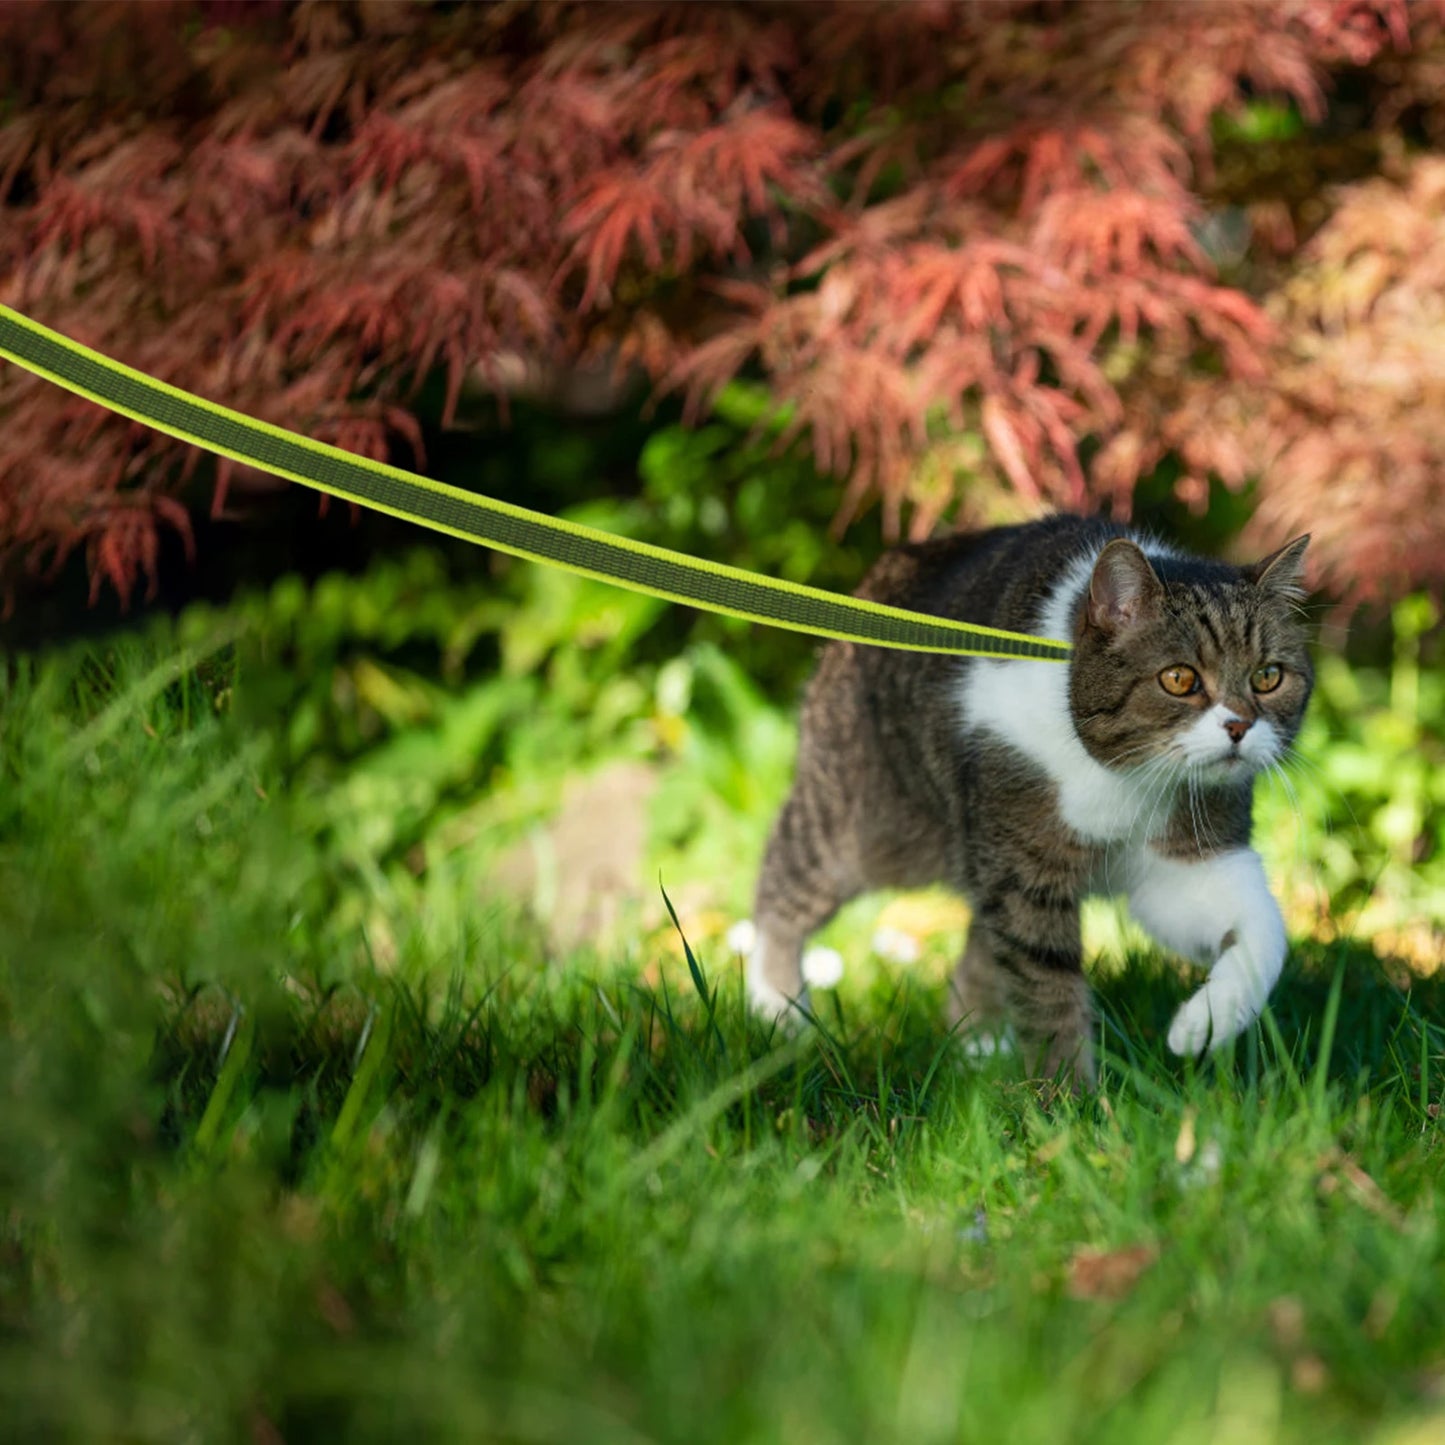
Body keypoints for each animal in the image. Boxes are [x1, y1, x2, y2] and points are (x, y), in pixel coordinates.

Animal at [739, 511, 1317, 1086]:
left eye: (1268, 676)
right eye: (1179, 679)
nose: (1240, 726)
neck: (1124, 777)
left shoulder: (1185, 866)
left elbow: (1264, 929)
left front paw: (1206, 1022)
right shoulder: (1025, 868)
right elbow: (1047, 988)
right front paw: (1070, 1096)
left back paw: (978, 1043)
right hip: (867, 820)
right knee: (783, 877)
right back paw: (778, 1009)